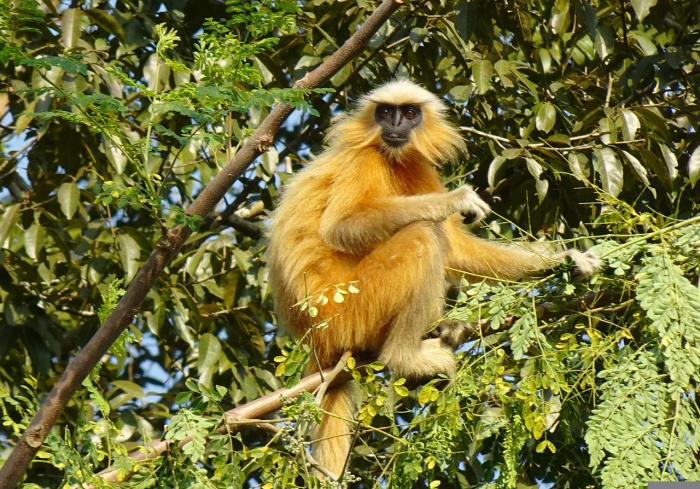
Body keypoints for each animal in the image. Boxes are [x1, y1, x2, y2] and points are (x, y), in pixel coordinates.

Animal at [266, 79, 600, 476]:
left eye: (409, 113)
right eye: (385, 112)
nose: (395, 124)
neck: (387, 153)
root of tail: (315, 342)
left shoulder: (414, 161)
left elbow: (457, 250)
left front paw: (565, 261)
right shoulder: (363, 159)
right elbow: (341, 227)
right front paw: (455, 200)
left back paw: (446, 330)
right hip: (348, 311)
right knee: (422, 235)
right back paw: (405, 358)